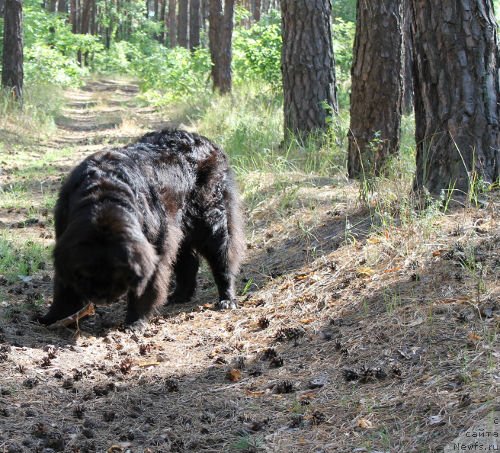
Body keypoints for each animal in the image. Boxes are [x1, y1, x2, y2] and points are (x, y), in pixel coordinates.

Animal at [38, 129, 245, 326]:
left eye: (117, 273)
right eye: (86, 273)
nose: (102, 297)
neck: (102, 199)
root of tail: (209, 143)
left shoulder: (153, 243)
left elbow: (146, 284)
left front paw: (135, 322)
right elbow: (64, 287)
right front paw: (53, 317)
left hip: (210, 219)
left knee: (222, 256)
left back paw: (227, 299)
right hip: (178, 225)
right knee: (188, 260)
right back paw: (180, 295)